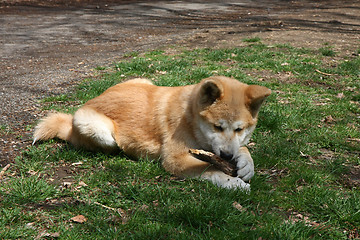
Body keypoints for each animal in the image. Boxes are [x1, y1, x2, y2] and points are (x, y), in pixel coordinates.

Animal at [33, 76, 270, 190]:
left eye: (239, 129)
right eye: (217, 127)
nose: (228, 156)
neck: (191, 119)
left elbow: (243, 149)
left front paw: (246, 164)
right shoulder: (175, 159)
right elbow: (209, 169)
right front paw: (233, 183)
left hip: (143, 80)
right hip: (100, 131)